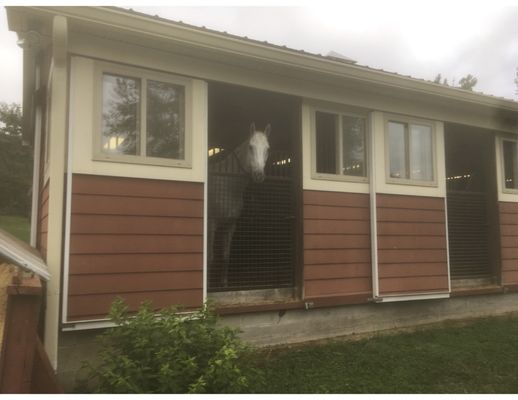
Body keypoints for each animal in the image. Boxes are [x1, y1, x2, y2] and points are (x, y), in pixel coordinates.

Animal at [208, 122, 272, 288]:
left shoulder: (231, 225)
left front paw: (224, 285)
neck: (228, 185)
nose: (259, 175)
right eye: (250, 147)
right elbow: (210, 257)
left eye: (267, 149)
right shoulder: (212, 224)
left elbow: (225, 255)